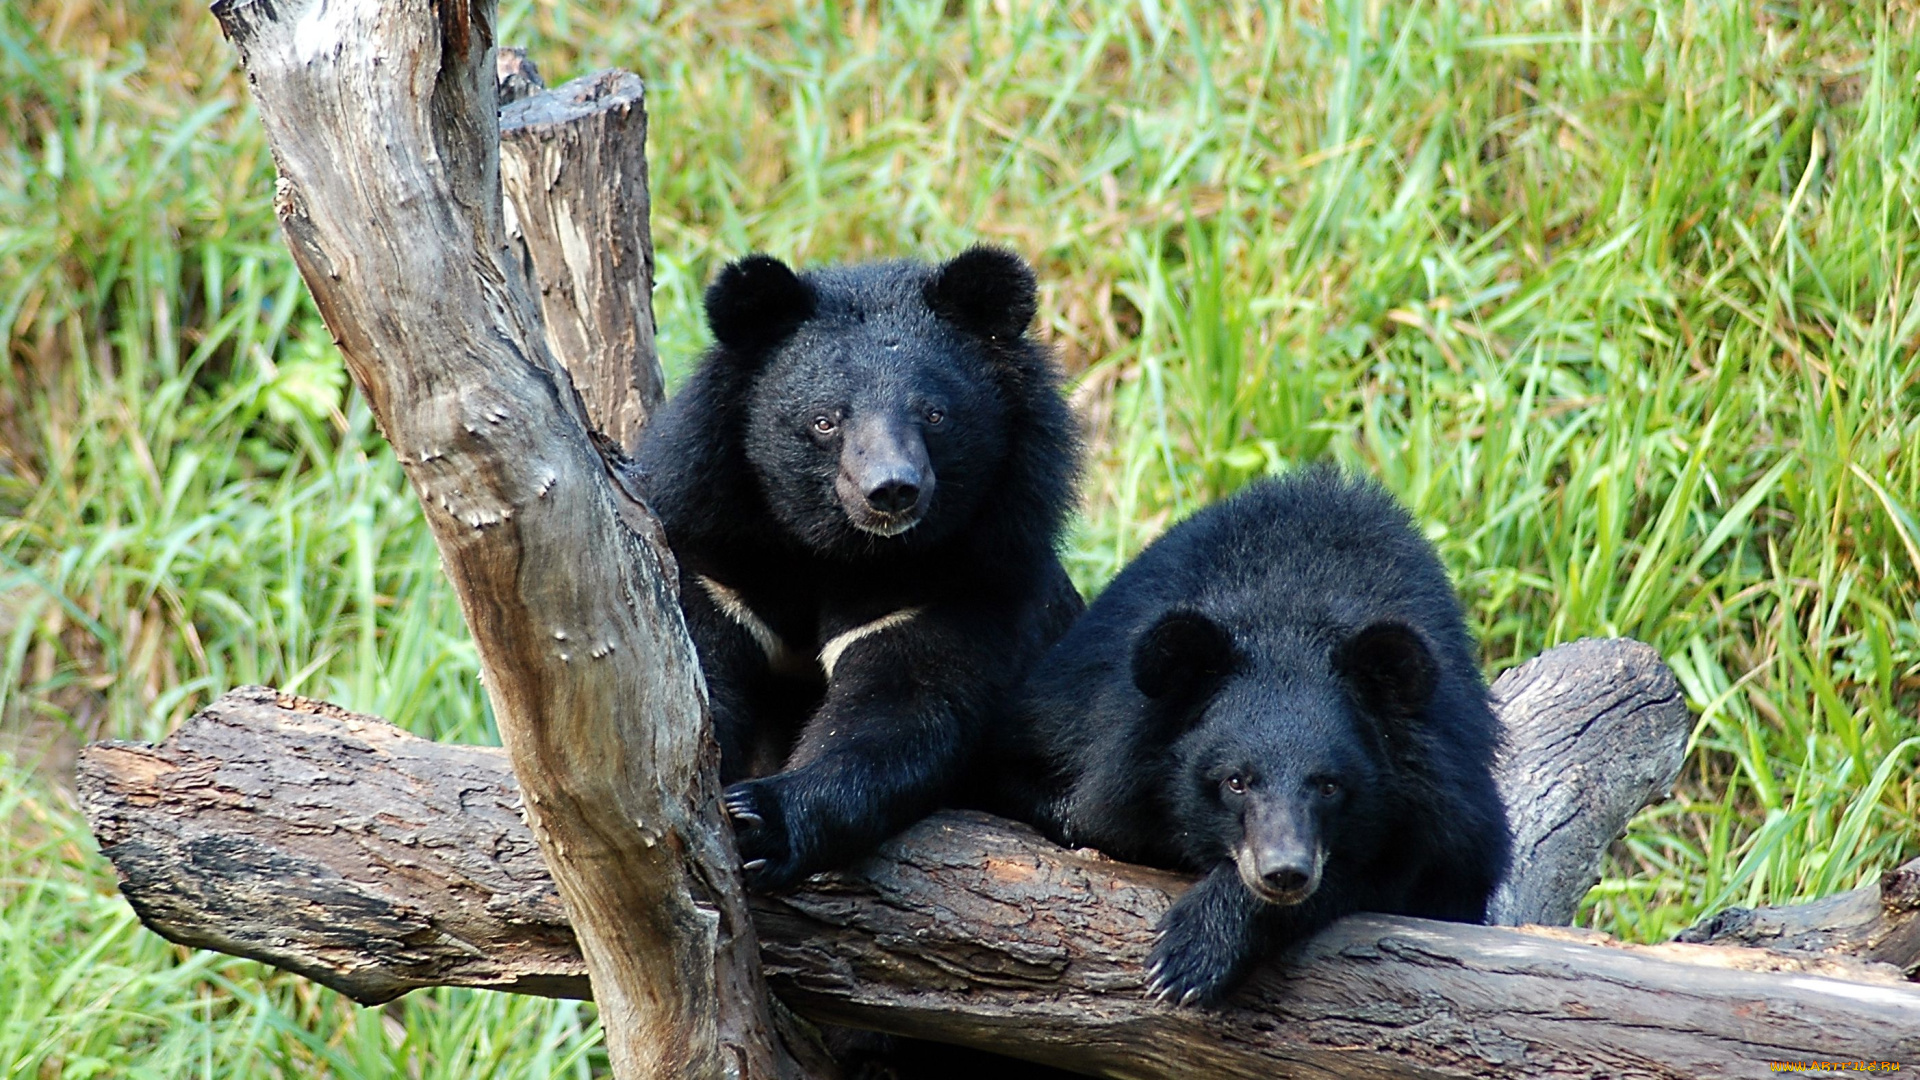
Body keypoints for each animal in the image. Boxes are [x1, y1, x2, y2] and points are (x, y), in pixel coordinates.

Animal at [629, 247, 1082, 887]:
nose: (891, 490)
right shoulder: (716, 562)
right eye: (826, 420)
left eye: (934, 414)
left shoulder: (961, 583)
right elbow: (691, 687)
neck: (841, 552)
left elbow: (899, 715)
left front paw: (761, 819)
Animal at [990, 466, 1512, 1006]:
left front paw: (1189, 953)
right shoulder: (1081, 720)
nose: (1284, 873)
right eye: (1235, 782)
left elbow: (1402, 868)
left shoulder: (1449, 789)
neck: (1289, 612)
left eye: (1330, 786)